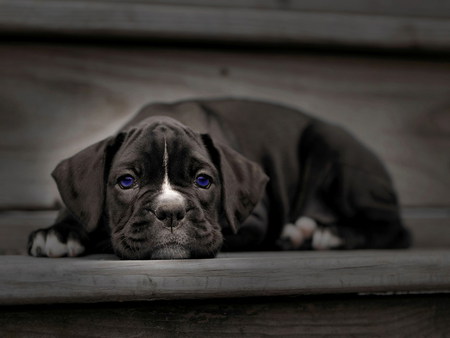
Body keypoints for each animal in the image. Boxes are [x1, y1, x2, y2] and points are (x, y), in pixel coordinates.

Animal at [26, 97, 410, 258]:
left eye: (203, 181)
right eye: (126, 182)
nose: (170, 212)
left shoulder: (254, 217)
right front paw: (57, 232)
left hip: (334, 151)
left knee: (394, 228)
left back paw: (326, 234)